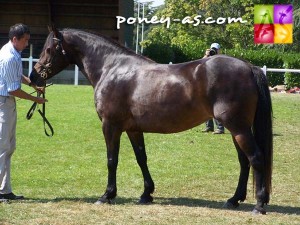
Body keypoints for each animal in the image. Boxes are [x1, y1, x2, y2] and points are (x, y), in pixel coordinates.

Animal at [29, 26, 272, 214]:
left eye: (49, 49)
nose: (34, 76)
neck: (111, 68)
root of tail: (248, 67)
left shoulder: (110, 126)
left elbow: (111, 160)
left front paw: (107, 195)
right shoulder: (133, 129)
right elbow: (141, 158)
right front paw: (147, 193)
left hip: (238, 127)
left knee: (256, 158)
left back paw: (259, 205)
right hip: (237, 129)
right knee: (244, 161)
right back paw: (234, 200)